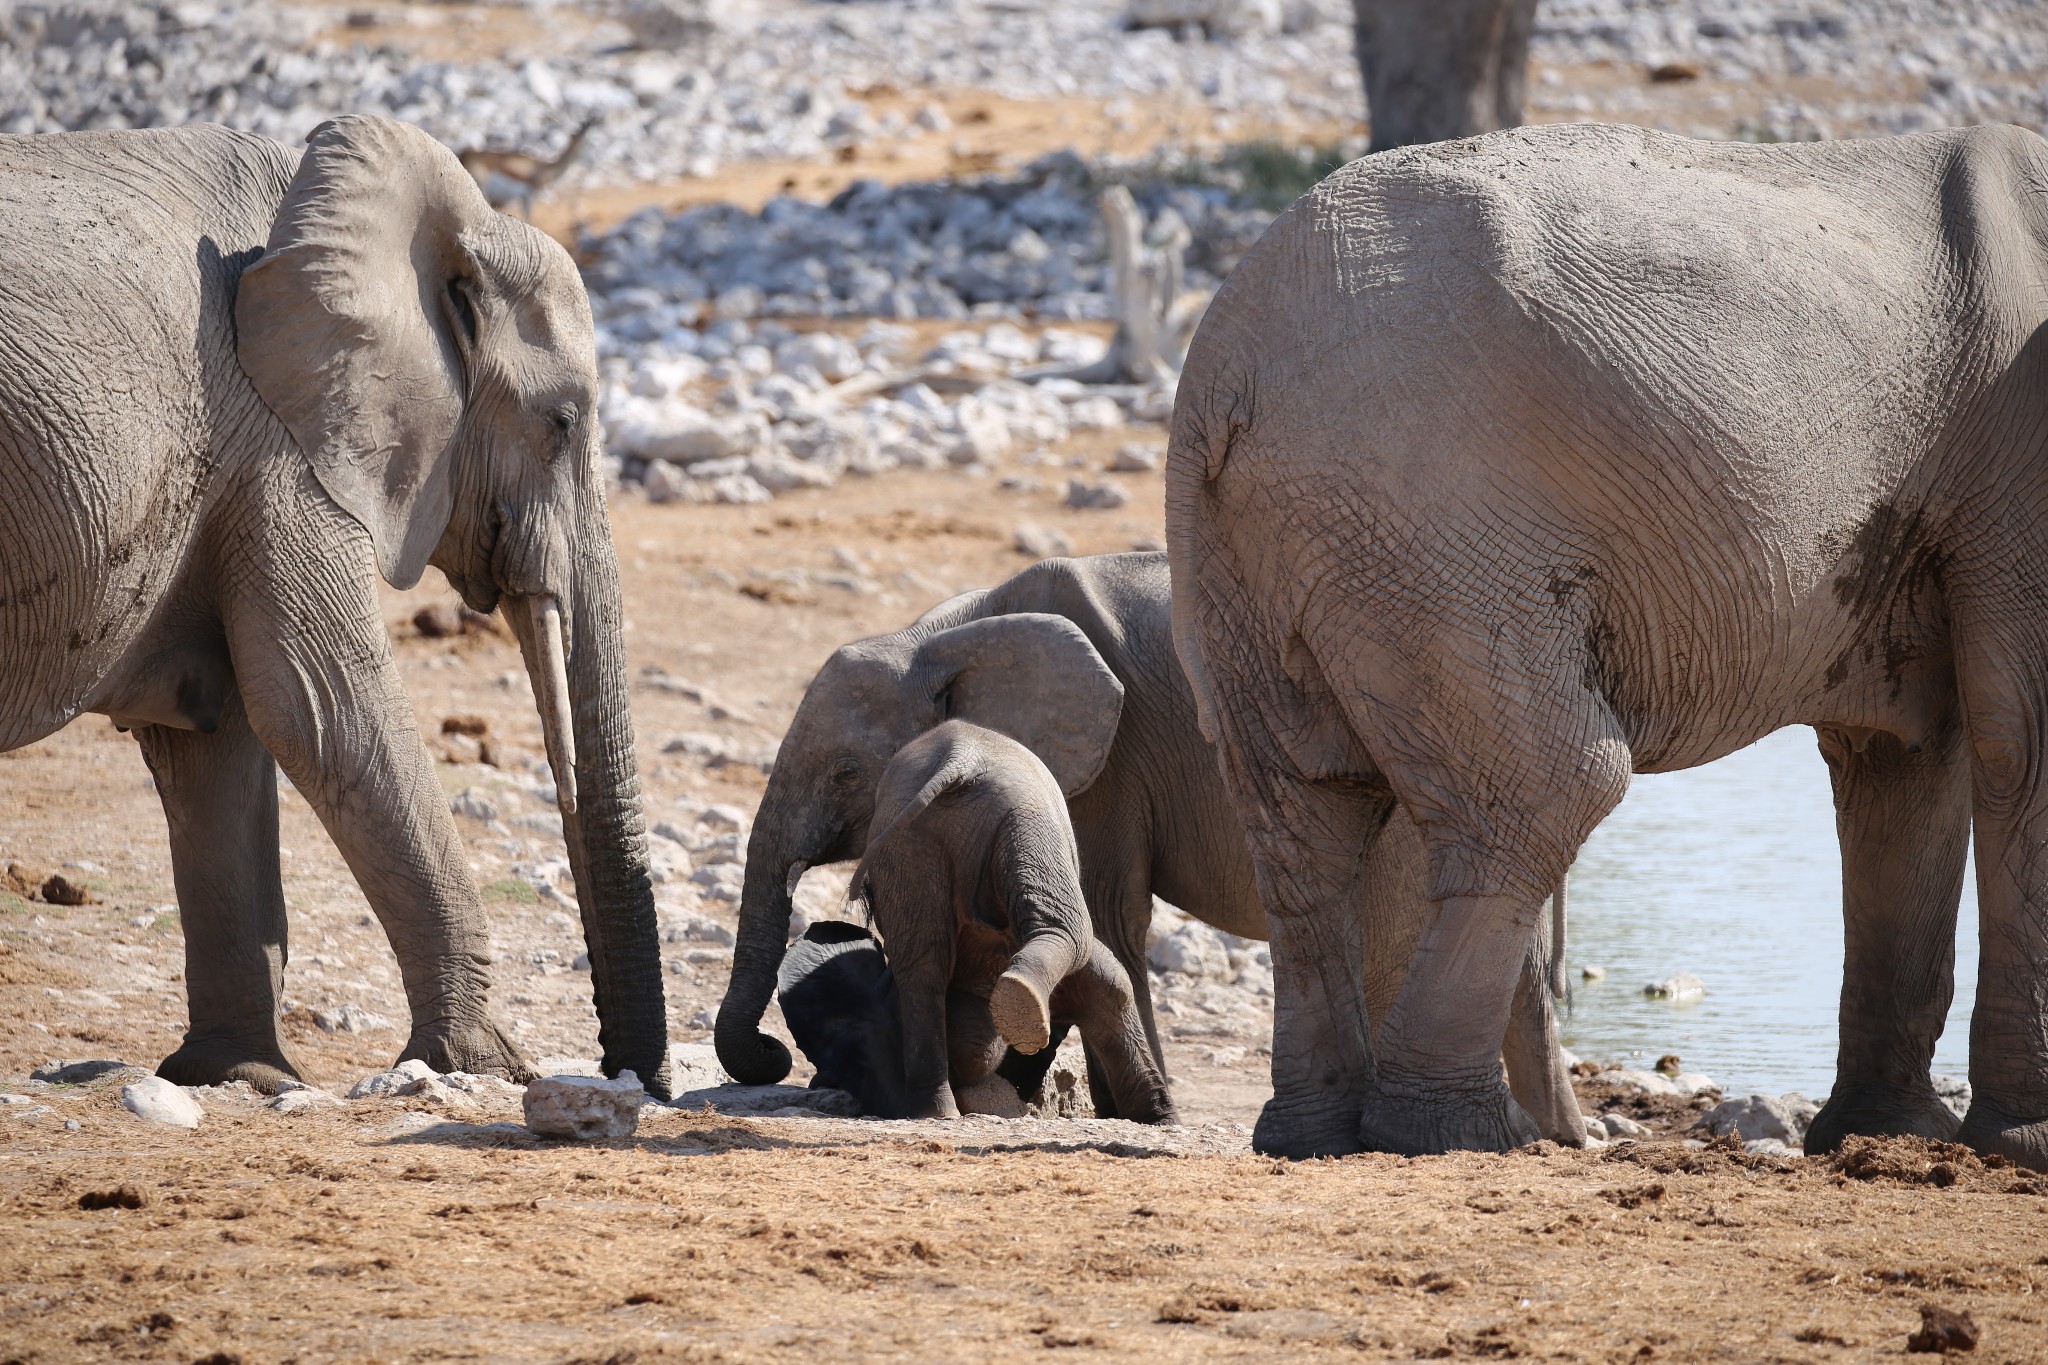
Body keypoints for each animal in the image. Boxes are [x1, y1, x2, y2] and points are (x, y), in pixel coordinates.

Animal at [0, 114, 671, 1096]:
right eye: (563, 421)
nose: (635, 1081)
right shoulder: (279, 438)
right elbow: (324, 711)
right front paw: (488, 1066)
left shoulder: (244, 455)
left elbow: (216, 735)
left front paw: (239, 1077)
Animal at [839, 720, 1179, 1129]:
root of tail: (958, 755)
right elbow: (1106, 977)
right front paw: (1160, 1120)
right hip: (1020, 823)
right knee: (1067, 930)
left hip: (910, 843)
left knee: (922, 966)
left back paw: (935, 1109)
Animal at [1171, 122, 2048, 1162]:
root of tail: (1223, 370)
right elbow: (2019, 733)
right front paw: (2021, 1145)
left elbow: (1901, 757)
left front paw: (1887, 1134)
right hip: (1432, 525)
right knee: (1553, 783)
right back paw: (1456, 1134)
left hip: (1257, 553)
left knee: (1305, 815)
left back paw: (1315, 1136)